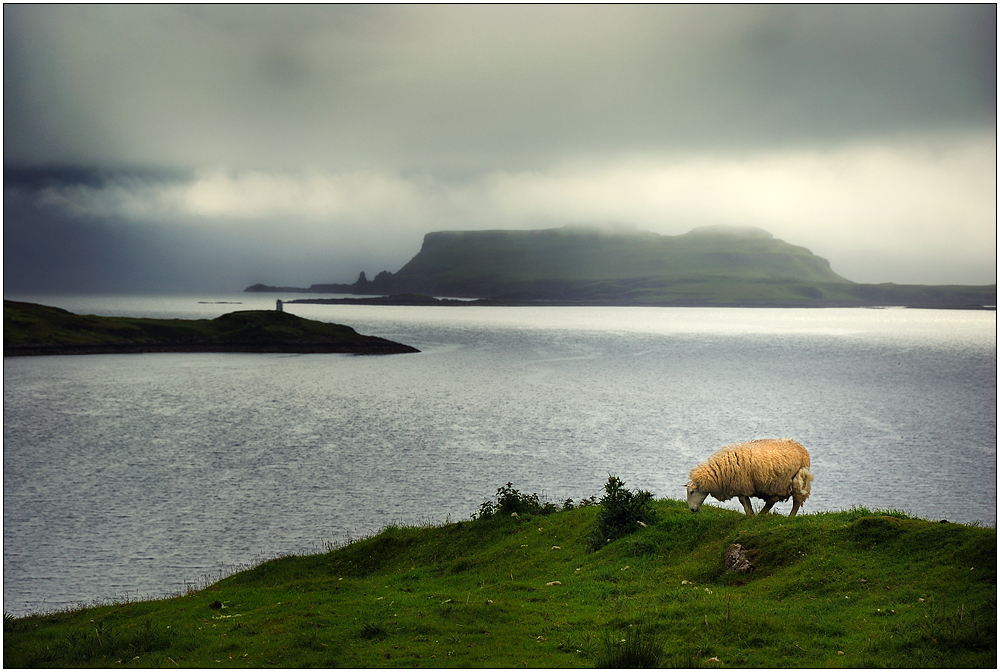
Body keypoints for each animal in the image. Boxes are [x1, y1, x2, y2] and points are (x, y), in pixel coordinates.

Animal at [684, 438, 816, 516]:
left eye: (691, 492)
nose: (692, 510)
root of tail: (802, 448)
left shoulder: (742, 485)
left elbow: (744, 502)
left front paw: (750, 515)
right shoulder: (741, 487)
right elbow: (746, 502)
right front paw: (751, 515)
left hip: (799, 479)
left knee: (796, 501)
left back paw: (788, 516)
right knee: (773, 500)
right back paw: (762, 514)